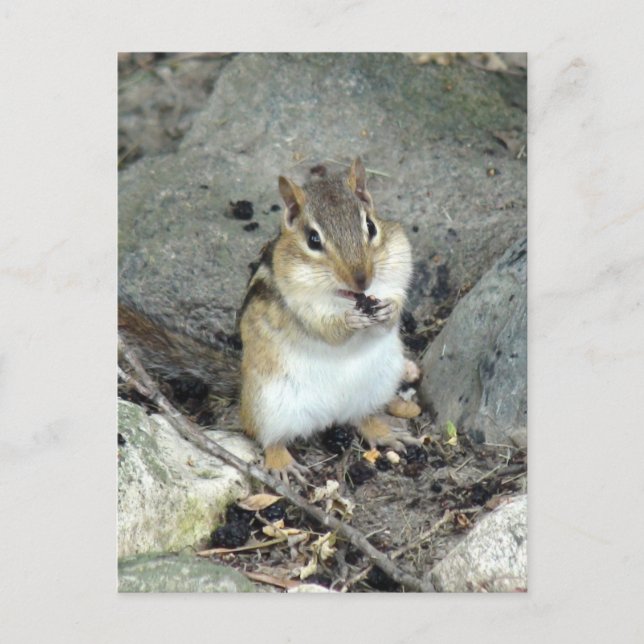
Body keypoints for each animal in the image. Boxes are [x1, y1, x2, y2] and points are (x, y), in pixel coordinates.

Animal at [119, 158, 421, 483]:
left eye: (371, 226)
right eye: (313, 239)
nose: (362, 280)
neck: (345, 295)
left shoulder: (398, 265)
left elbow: (393, 306)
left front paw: (389, 309)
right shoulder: (298, 304)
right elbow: (324, 329)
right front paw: (348, 321)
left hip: (380, 383)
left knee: (362, 417)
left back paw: (386, 433)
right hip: (270, 406)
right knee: (268, 439)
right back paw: (282, 463)